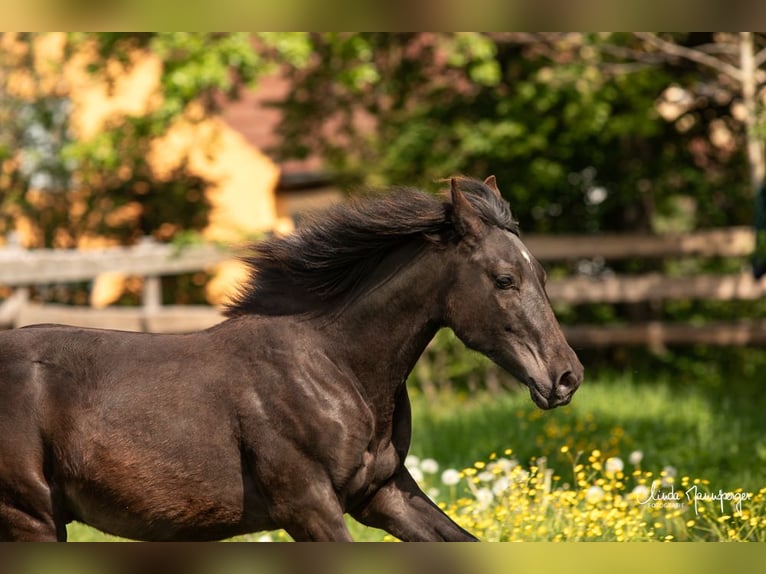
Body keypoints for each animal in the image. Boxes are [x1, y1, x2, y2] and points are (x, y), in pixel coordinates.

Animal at [0, 174, 584, 540]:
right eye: (505, 280)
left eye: (542, 274)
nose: (566, 377)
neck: (332, 367)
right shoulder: (307, 504)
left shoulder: (382, 493)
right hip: (31, 517)